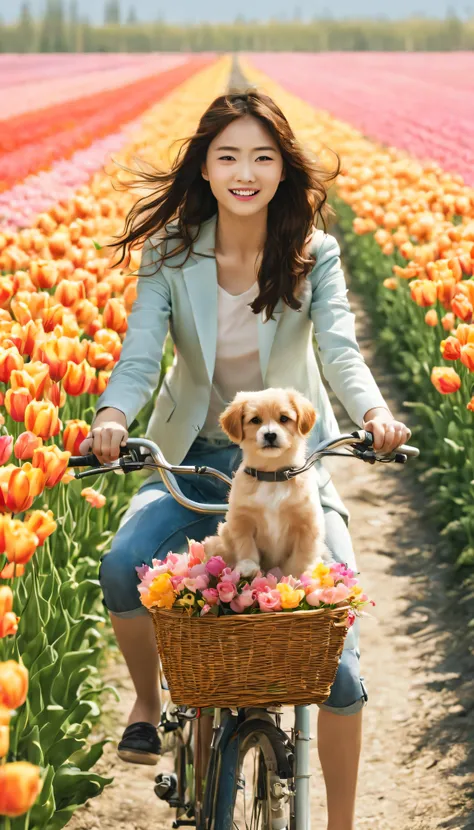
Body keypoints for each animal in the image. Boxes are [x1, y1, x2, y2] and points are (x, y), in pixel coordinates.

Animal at [203, 388, 330, 580]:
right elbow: (245, 545)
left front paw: (296, 578)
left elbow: (301, 557)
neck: (272, 476)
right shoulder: (241, 519)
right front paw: (248, 567)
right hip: (224, 531)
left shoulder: (308, 524)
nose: (270, 434)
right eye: (255, 420)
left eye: (284, 418)